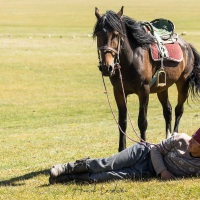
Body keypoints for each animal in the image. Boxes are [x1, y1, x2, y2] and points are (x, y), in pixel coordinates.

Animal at [92, 5, 200, 152]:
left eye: (116, 34)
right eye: (98, 34)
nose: (106, 67)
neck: (131, 59)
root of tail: (187, 45)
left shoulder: (144, 91)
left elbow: (142, 121)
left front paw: (143, 147)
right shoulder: (119, 91)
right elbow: (122, 122)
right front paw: (121, 149)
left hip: (182, 83)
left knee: (179, 110)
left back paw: (174, 136)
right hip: (162, 88)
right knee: (168, 110)